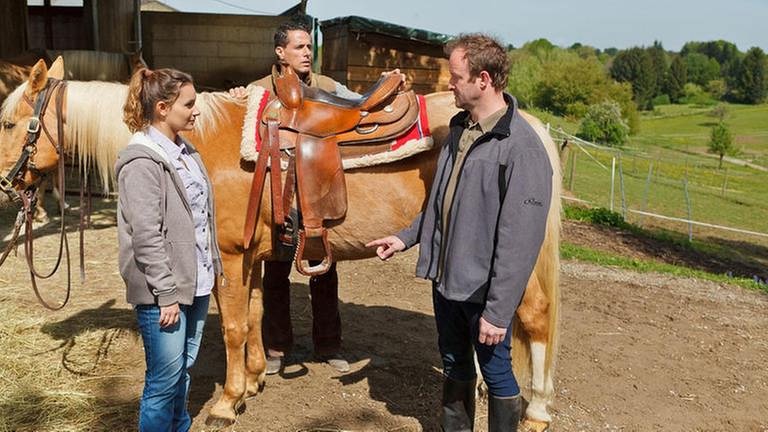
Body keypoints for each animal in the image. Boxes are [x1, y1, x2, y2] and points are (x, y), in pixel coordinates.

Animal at [1, 59, 564, 430]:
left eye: (7, 122)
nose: (6, 185)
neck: (206, 142)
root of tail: (530, 128)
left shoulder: (228, 257)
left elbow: (230, 327)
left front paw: (227, 402)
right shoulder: (249, 257)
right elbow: (252, 317)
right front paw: (254, 381)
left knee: (534, 318)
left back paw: (535, 411)